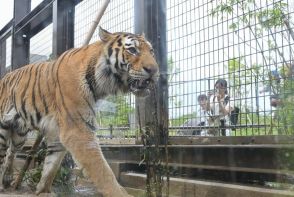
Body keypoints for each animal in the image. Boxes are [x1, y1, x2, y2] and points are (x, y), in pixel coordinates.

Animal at [0, 26, 158, 197]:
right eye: (132, 50)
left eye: (151, 51)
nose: (154, 70)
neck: (101, 84)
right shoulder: (78, 130)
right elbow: (103, 171)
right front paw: (119, 193)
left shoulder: (57, 135)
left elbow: (51, 167)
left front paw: (43, 191)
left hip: (20, 134)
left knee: (11, 151)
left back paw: (7, 179)